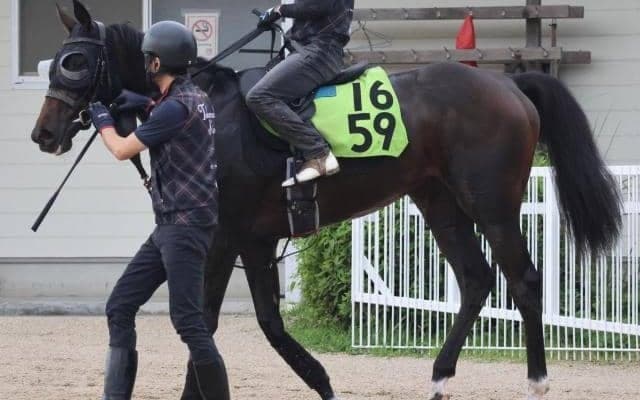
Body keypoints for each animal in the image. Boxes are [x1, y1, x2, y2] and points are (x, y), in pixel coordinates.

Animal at [31, 2, 622, 399]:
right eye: (55, 60)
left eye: (75, 61)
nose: (43, 134)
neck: (208, 109)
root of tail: (513, 86)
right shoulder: (252, 240)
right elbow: (255, 323)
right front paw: (319, 378)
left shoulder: (225, 237)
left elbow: (209, 321)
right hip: (437, 200)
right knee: (476, 280)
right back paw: (438, 376)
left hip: (491, 204)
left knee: (523, 279)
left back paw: (537, 379)